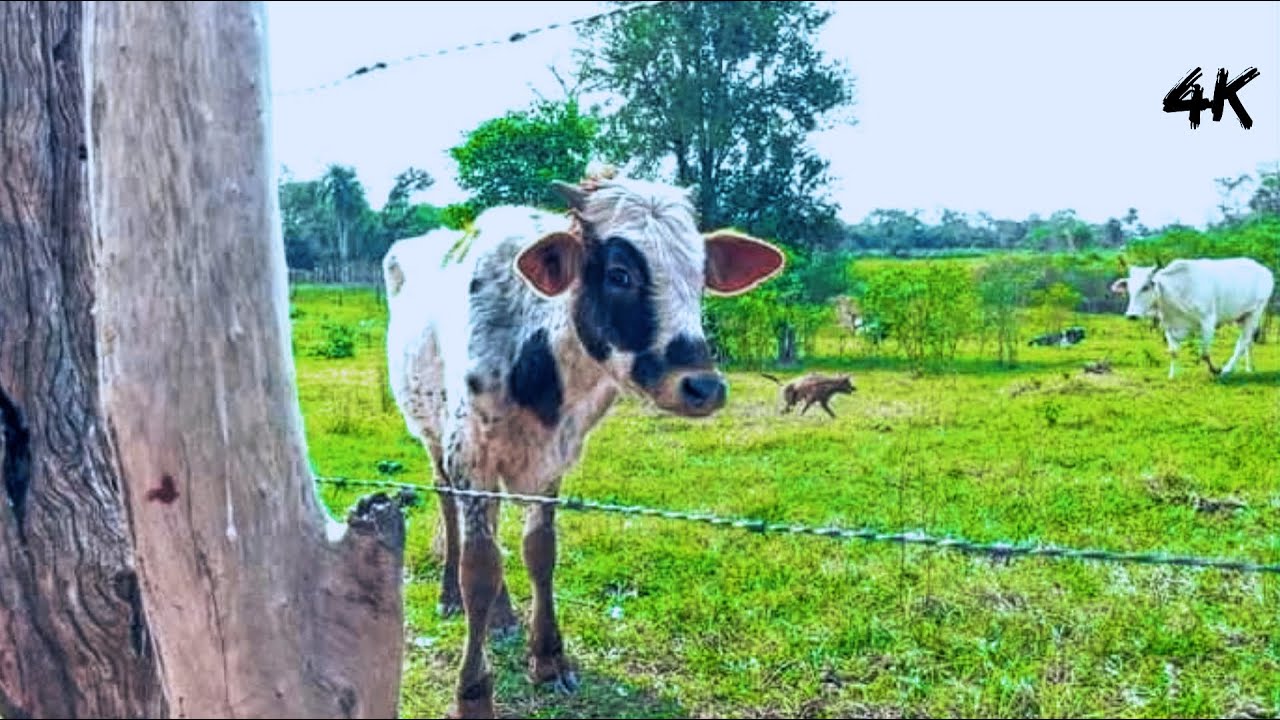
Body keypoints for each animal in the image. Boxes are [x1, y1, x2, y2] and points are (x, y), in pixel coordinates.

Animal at [383, 173, 786, 718]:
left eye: (701, 276)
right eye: (619, 274)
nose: (703, 387)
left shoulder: (555, 457)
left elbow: (539, 552)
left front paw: (549, 658)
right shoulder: (469, 452)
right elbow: (479, 567)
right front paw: (472, 692)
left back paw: (503, 617)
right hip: (430, 431)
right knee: (450, 509)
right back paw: (450, 596)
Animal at [1111, 256, 1275, 379]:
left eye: (1145, 287)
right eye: (1129, 288)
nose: (1131, 315)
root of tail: (1265, 271)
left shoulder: (1208, 322)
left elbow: (1204, 353)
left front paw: (1215, 370)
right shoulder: (1169, 326)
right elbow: (1174, 352)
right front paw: (1172, 375)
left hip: (1255, 312)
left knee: (1243, 342)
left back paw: (1227, 369)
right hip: (1242, 317)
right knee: (1248, 342)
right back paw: (1249, 368)